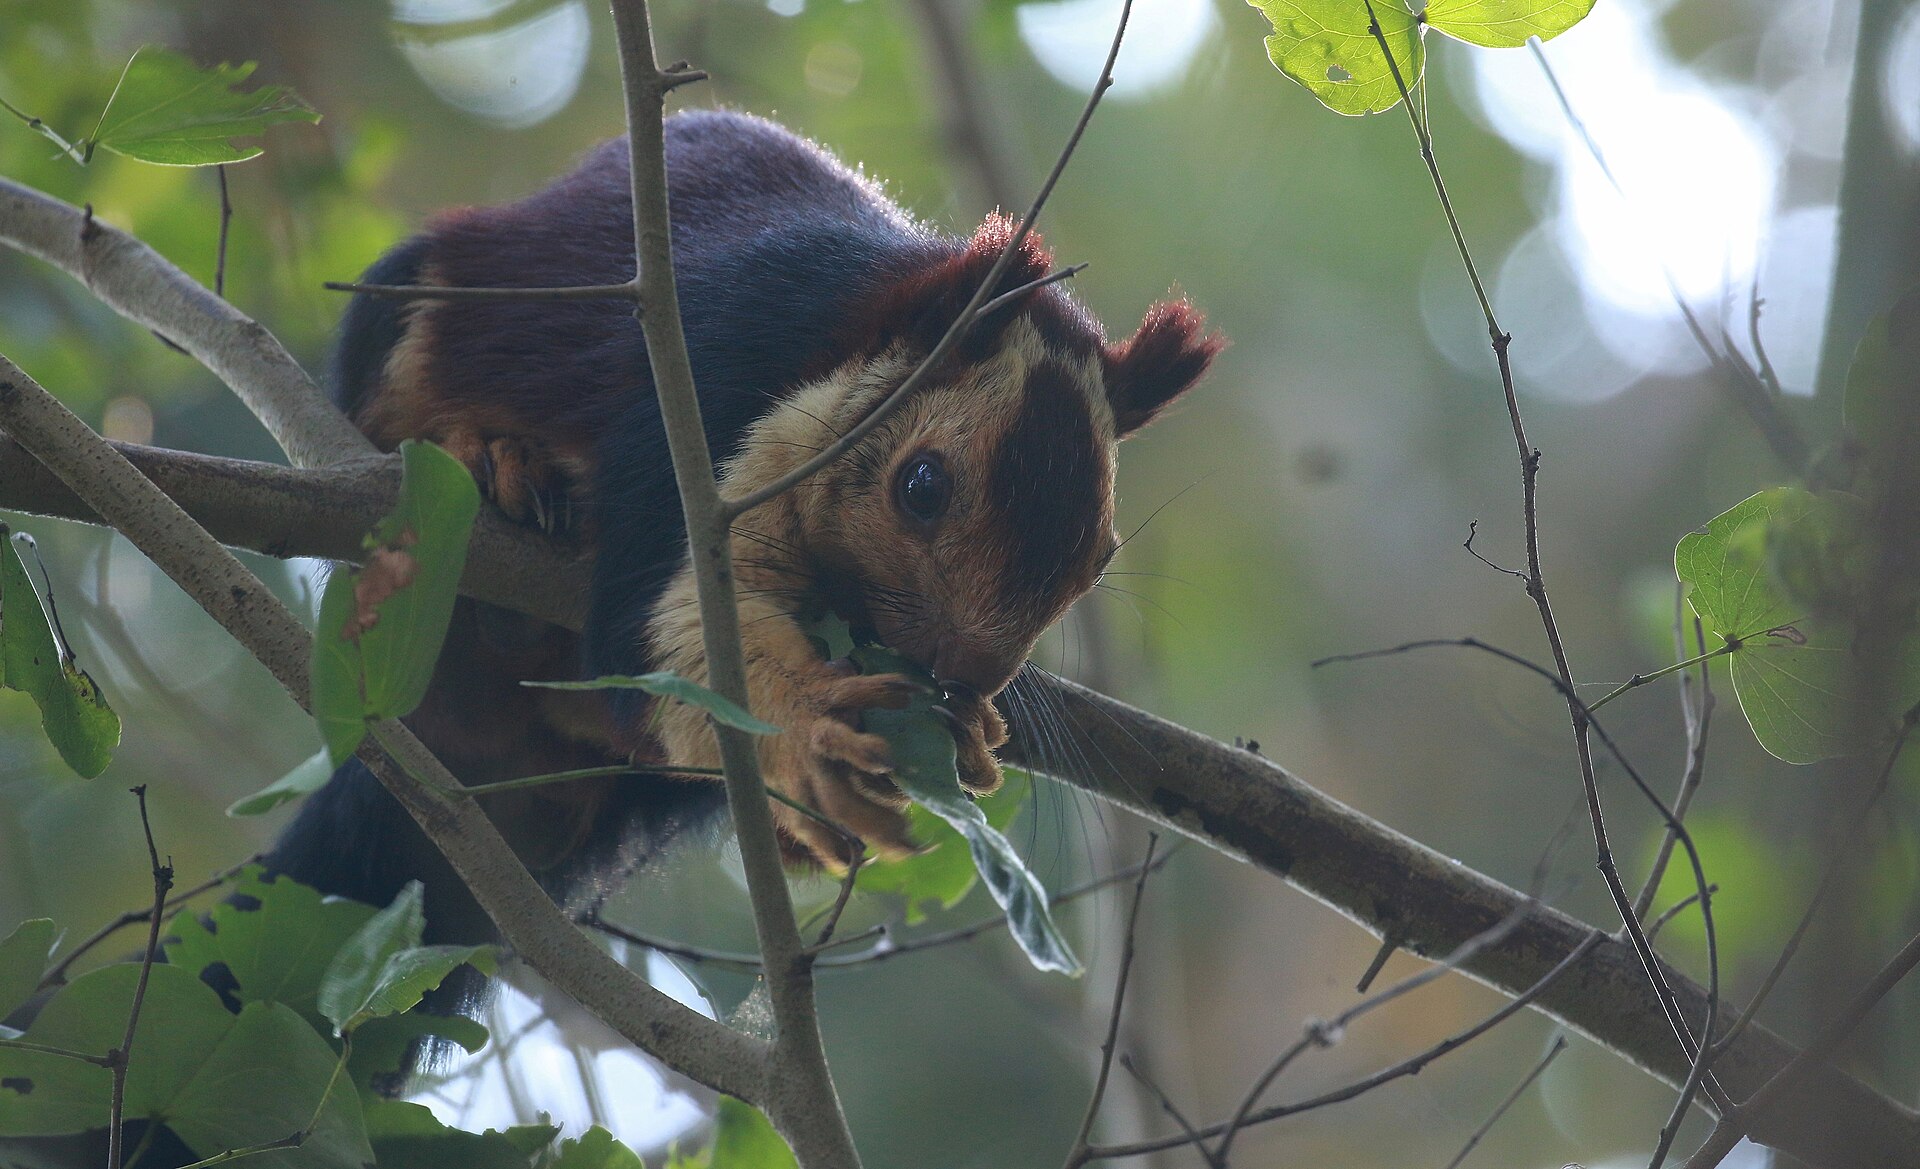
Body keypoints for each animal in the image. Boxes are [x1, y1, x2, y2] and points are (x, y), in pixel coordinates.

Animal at [265, 109, 1221, 944]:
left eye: (1098, 560)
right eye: (922, 486)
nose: (967, 670)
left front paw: (973, 728)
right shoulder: (702, 387)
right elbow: (656, 626)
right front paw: (809, 727)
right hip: (410, 325)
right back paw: (492, 463)